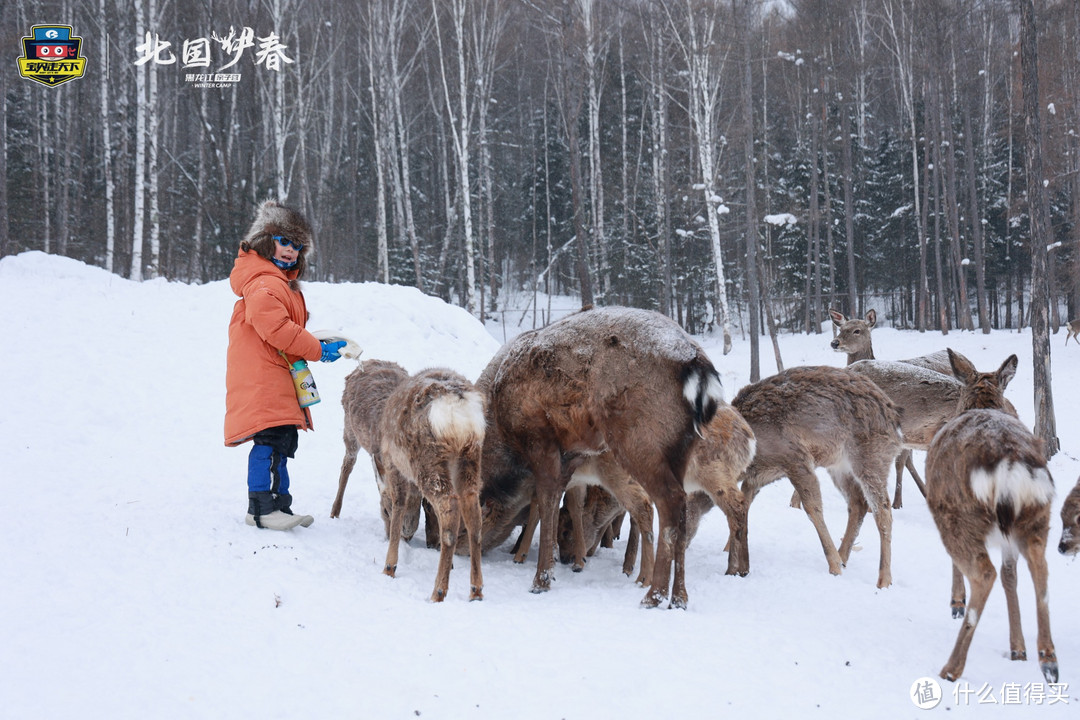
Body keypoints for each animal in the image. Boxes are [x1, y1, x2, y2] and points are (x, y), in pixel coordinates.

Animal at [378, 367, 483, 604]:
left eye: (383, 510)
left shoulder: (394, 465)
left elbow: (399, 505)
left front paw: (389, 567)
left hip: (428, 462)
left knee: (450, 511)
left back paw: (438, 591)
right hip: (470, 460)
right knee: (474, 518)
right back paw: (476, 590)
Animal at [924, 351, 1058, 686]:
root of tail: (1008, 462)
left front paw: (956, 603)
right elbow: (1011, 576)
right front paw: (1017, 648)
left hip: (958, 514)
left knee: (984, 573)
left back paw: (951, 668)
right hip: (1037, 514)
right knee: (1040, 568)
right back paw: (1048, 660)